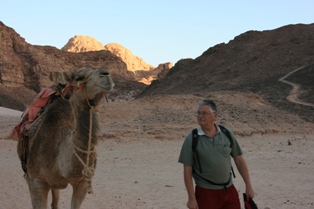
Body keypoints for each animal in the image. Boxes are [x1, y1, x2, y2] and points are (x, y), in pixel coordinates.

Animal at [15, 67, 114, 209]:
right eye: (78, 78)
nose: (105, 74)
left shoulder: (82, 182)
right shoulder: (37, 181)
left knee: (55, 201)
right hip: (29, 175)